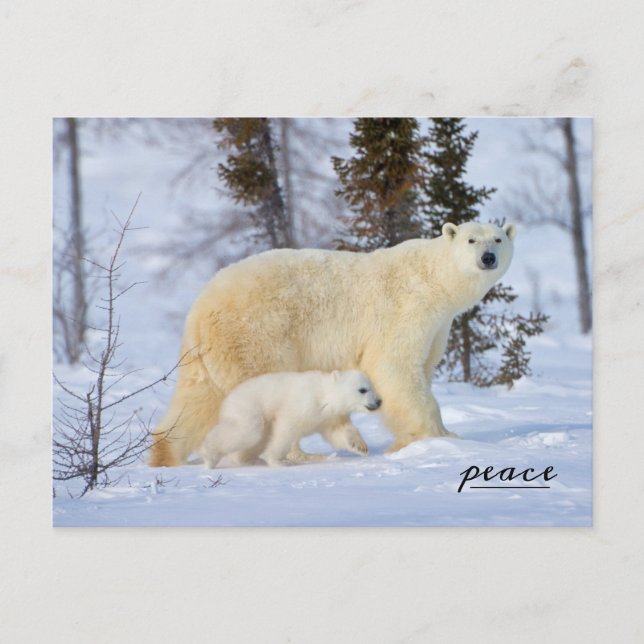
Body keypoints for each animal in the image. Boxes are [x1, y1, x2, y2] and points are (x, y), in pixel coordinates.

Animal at [199, 370, 382, 468]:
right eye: (362, 390)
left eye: (372, 387)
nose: (379, 401)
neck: (324, 396)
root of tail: (227, 399)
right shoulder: (302, 404)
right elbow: (286, 430)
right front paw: (279, 462)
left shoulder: (329, 417)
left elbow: (338, 433)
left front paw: (360, 446)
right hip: (249, 408)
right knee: (248, 432)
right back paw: (210, 457)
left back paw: (251, 459)